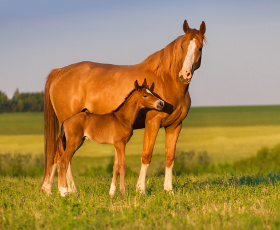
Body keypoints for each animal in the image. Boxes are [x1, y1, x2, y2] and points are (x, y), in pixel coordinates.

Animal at [41, 20, 206, 194]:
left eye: (200, 47)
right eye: (182, 46)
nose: (185, 74)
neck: (167, 80)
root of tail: (60, 71)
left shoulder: (175, 126)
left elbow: (170, 157)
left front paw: (169, 191)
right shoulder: (152, 123)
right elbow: (146, 155)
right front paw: (140, 190)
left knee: (59, 155)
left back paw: (51, 189)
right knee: (62, 156)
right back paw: (69, 191)